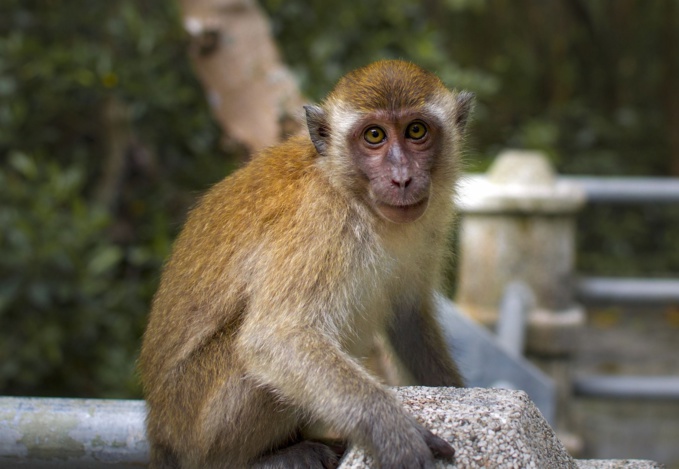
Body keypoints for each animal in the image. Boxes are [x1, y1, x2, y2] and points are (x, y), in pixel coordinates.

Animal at [139, 59, 474, 469]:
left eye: (416, 130)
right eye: (374, 136)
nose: (402, 177)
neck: (351, 192)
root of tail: (160, 433)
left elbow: (408, 317)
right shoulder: (321, 222)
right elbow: (277, 337)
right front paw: (396, 434)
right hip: (199, 425)